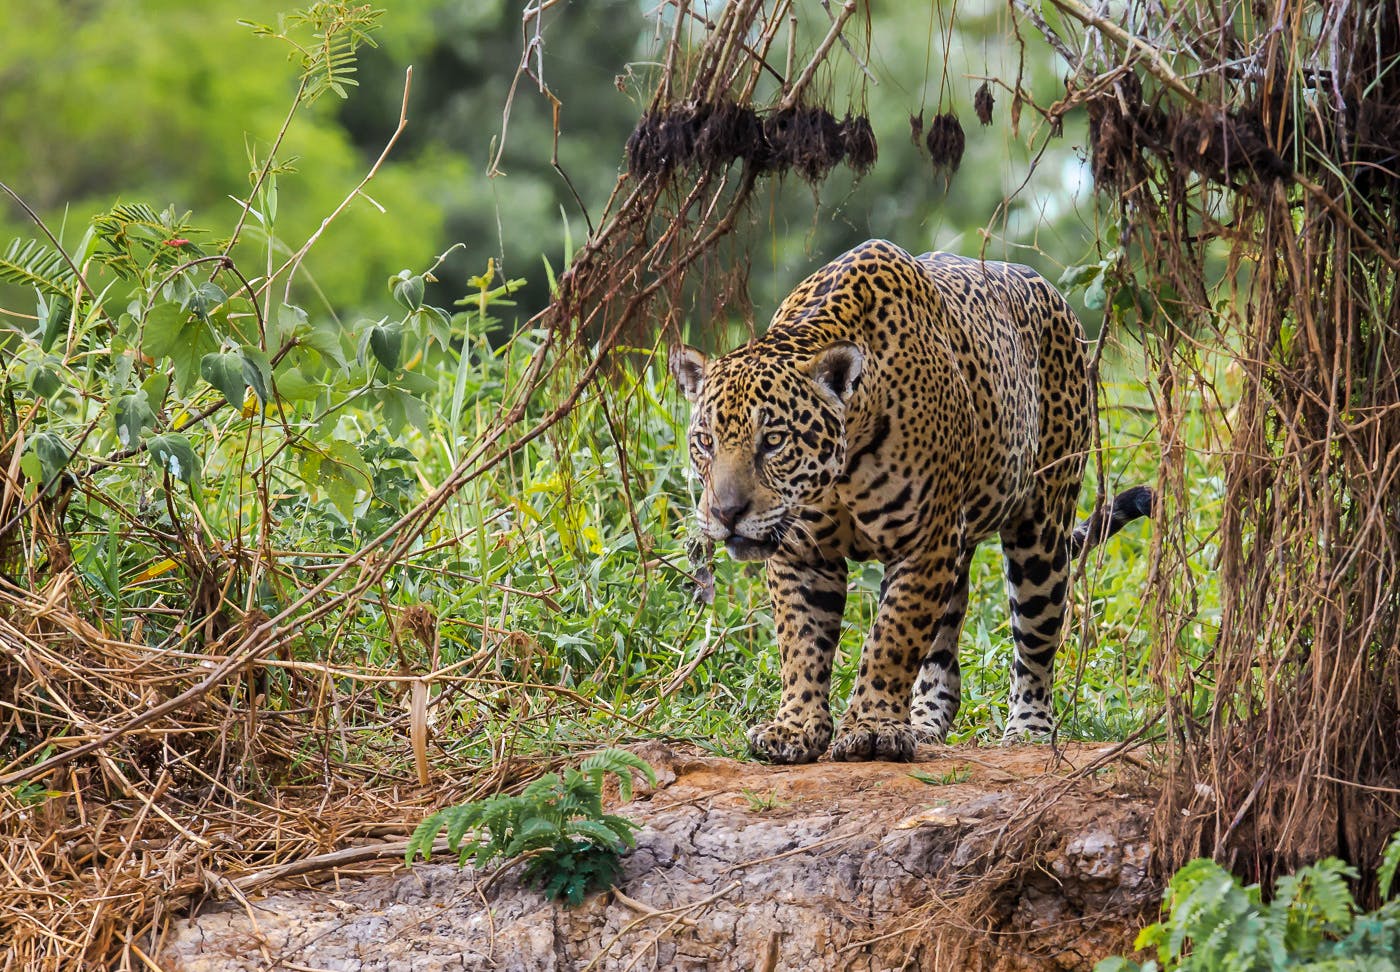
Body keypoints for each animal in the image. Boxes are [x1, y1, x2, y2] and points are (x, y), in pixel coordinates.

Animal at [670, 239, 1153, 764]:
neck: (842, 466)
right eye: (705, 441)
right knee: (943, 649)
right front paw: (795, 729)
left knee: (1036, 642)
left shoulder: (925, 543)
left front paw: (872, 729)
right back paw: (923, 724)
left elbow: (892, 638)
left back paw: (1027, 728)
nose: (725, 514)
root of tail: (1053, 293)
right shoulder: (800, 553)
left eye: (774, 441)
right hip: (957, 552)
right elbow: (801, 643)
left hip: (1041, 531)